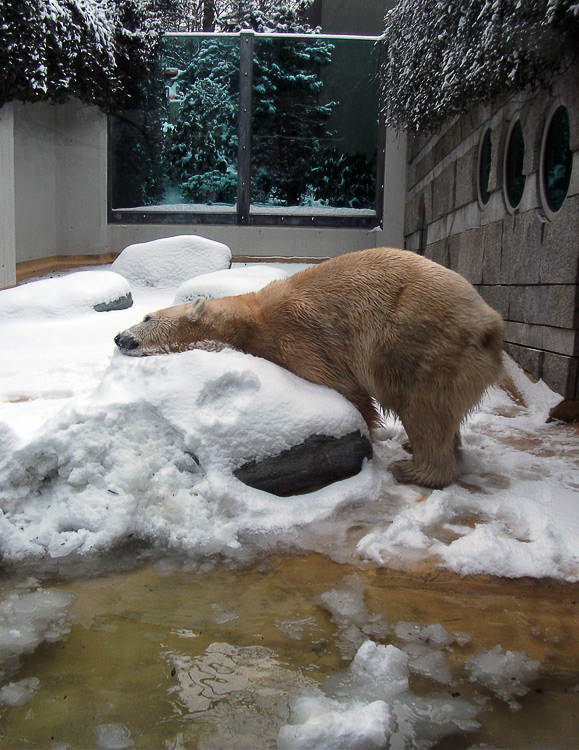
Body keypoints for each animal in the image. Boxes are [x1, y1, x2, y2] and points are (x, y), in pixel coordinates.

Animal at [114, 250, 502, 490]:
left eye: (147, 317)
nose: (119, 337)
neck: (247, 320)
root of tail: (490, 324)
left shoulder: (299, 339)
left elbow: (349, 392)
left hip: (420, 345)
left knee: (423, 406)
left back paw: (413, 469)